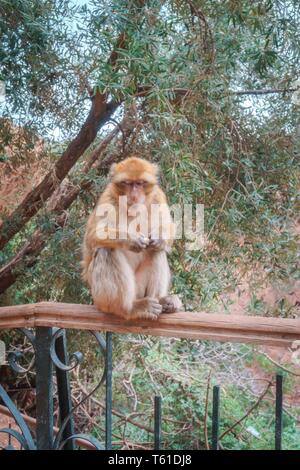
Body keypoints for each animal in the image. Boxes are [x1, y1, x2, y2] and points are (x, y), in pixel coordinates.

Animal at [81, 156, 182, 322]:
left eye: (140, 183)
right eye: (127, 183)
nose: (134, 195)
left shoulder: (158, 196)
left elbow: (169, 227)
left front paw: (159, 238)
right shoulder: (108, 198)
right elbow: (93, 236)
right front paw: (131, 240)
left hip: (140, 289)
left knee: (156, 251)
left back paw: (161, 300)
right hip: (101, 298)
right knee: (106, 250)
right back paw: (129, 308)